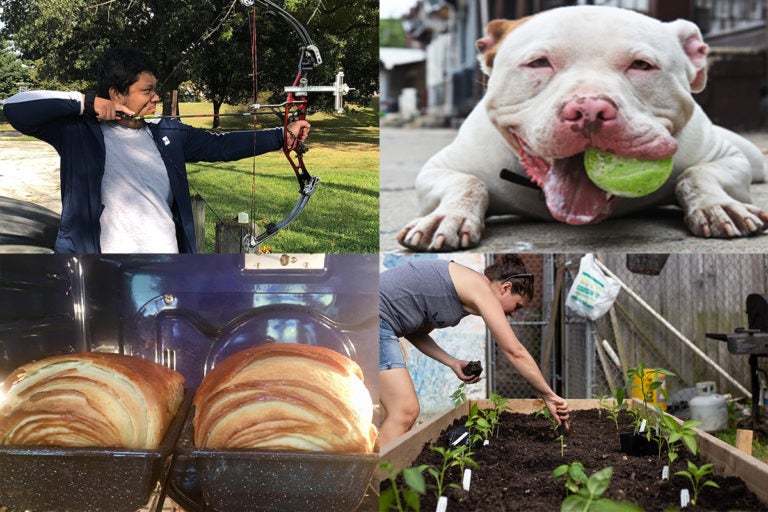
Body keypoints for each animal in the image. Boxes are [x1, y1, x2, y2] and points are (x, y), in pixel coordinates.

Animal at [400, 5, 764, 251]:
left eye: (642, 65)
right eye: (538, 63)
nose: (589, 109)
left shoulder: (727, 157)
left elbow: (697, 174)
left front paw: (716, 205)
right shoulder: (441, 167)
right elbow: (467, 182)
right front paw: (448, 216)